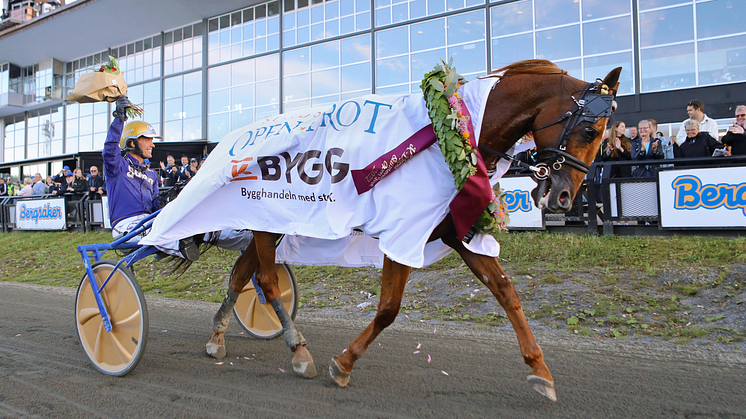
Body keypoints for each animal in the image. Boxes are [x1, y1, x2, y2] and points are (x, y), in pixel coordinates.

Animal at [205, 60, 620, 402]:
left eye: (601, 135)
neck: (454, 132)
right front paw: (344, 363)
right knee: (265, 279)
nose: (564, 197)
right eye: (588, 129)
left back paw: (217, 338)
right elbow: (389, 308)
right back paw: (298, 351)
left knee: (244, 275)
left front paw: (540, 371)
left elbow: (507, 293)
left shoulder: (459, 231)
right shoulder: (403, 233)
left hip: (269, 225)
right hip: (267, 219)